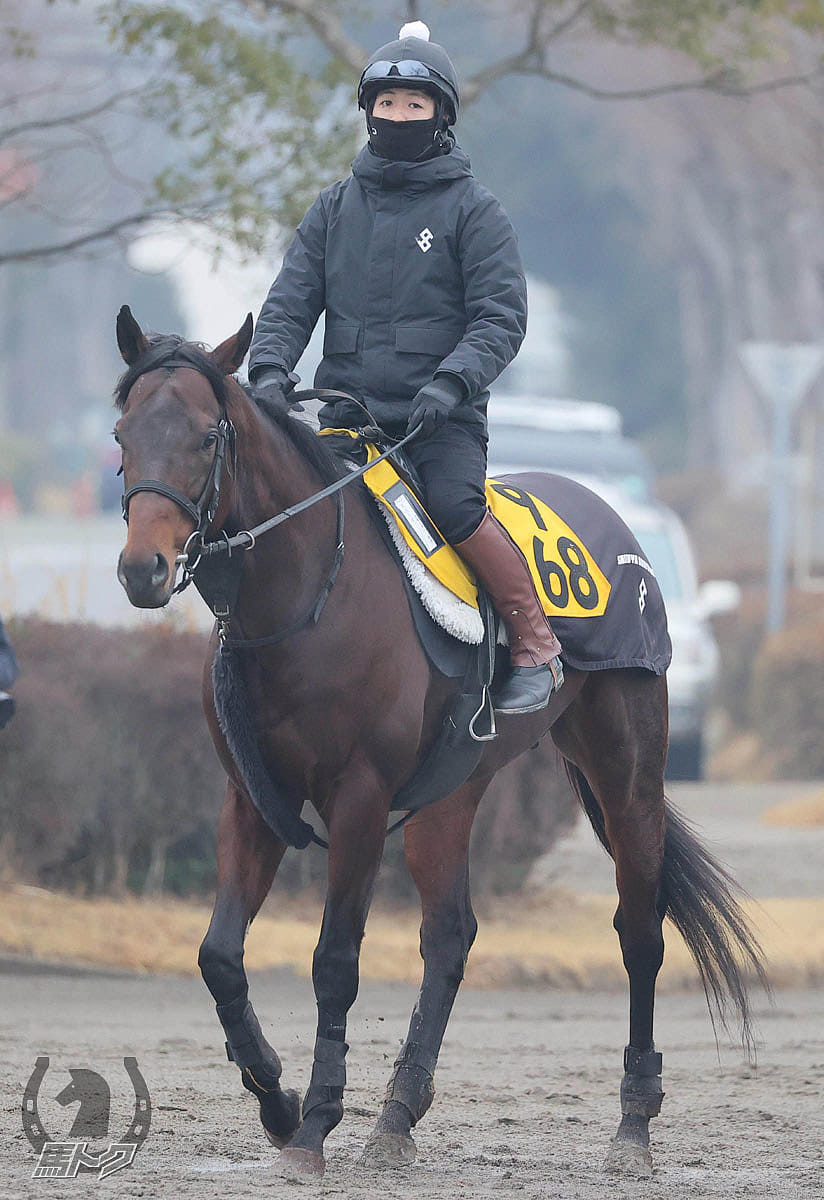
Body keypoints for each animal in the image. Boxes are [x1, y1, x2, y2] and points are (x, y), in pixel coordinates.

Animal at [112, 309, 762, 1180]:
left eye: (207, 435)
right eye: (122, 433)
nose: (142, 569)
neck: (308, 597)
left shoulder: (359, 799)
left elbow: (334, 961)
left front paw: (316, 1121)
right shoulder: (253, 797)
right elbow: (219, 955)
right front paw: (279, 1101)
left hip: (627, 770)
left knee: (639, 931)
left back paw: (633, 1123)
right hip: (452, 792)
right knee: (451, 935)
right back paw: (396, 1116)